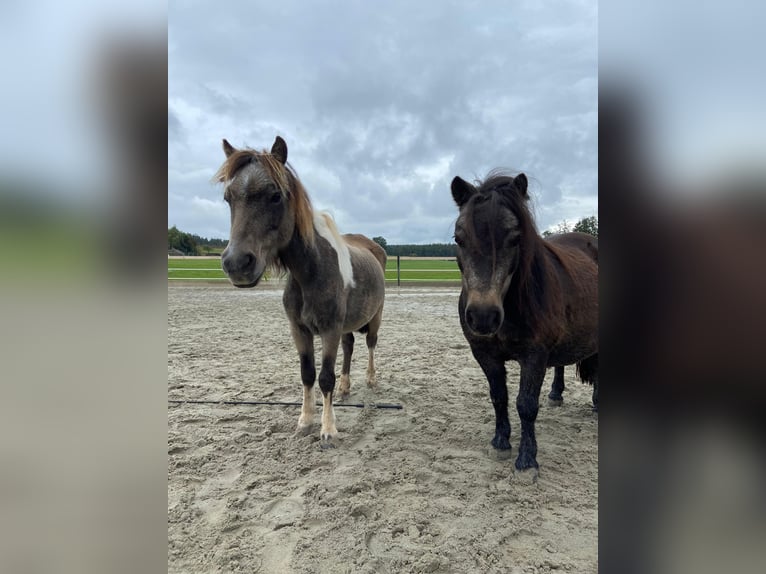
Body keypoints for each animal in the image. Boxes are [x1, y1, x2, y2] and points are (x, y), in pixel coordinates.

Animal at [215, 136, 387, 444]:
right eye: (228, 198)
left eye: (275, 196)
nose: (237, 264)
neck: (311, 272)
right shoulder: (299, 330)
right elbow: (307, 374)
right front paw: (305, 421)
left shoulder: (330, 330)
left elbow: (325, 377)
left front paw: (328, 429)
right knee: (349, 347)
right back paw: (346, 386)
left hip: (375, 316)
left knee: (370, 344)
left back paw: (370, 378)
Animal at [451, 171, 598, 472]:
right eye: (459, 238)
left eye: (514, 238)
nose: (483, 316)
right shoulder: (485, 354)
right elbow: (499, 397)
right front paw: (500, 443)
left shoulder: (534, 356)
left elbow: (526, 405)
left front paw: (527, 458)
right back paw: (556, 394)